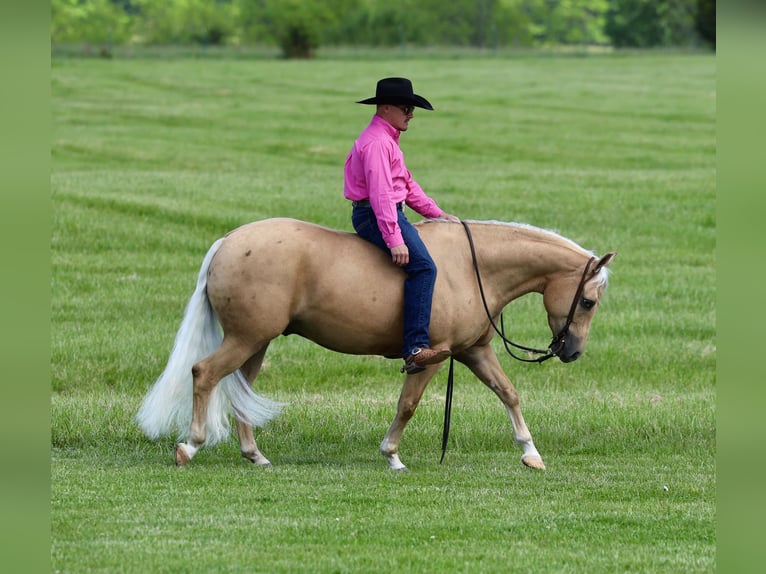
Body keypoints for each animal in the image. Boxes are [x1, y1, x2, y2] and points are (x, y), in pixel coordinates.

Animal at [136, 217, 615, 471]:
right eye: (588, 301)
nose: (572, 351)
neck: (472, 267)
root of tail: (228, 242)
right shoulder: (430, 358)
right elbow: (408, 405)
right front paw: (392, 455)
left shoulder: (474, 351)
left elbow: (508, 393)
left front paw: (530, 452)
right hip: (246, 338)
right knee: (204, 373)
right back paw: (190, 445)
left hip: (255, 343)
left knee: (240, 390)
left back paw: (254, 454)